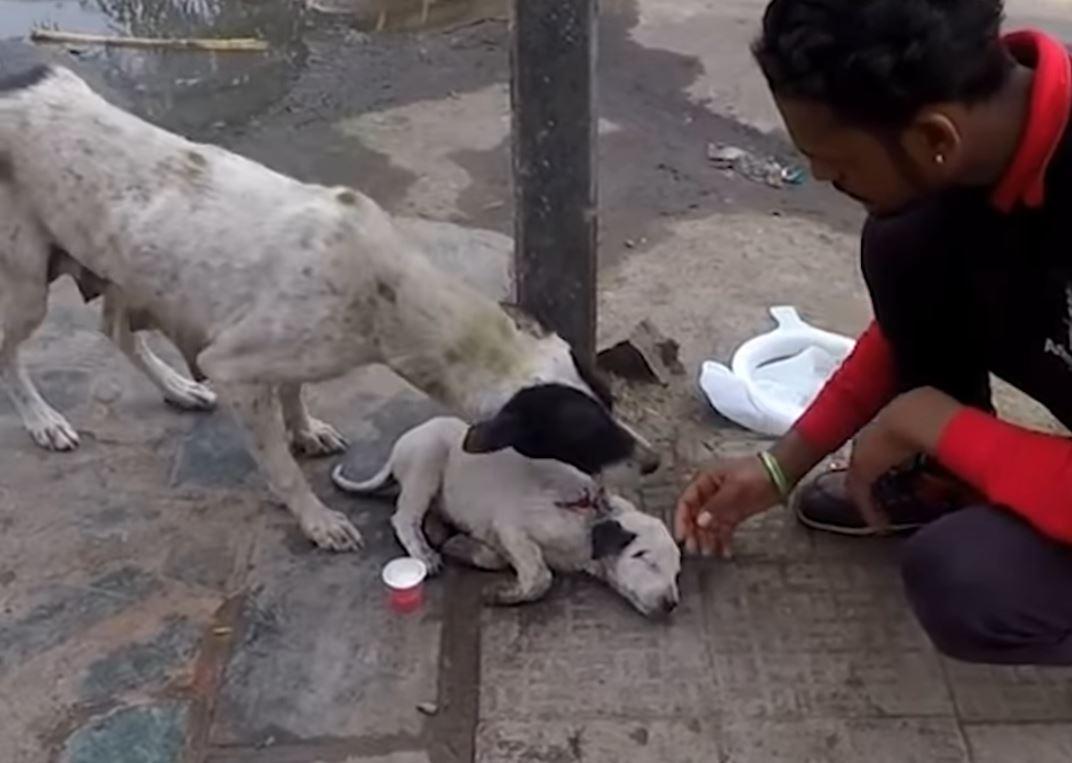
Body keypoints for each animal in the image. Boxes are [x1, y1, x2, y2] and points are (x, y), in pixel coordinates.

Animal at [0, 65, 656, 552]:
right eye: (581, 435)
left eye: (611, 401)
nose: (651, 462)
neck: (388, 288)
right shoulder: (234, 368)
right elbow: (281, 468)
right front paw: (316, 520)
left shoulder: (289, 356)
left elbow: (294, 394)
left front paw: (303, 427)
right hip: (27, 283)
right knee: (12, 352)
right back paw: (43, 419)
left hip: (125, 272)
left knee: (115, 330)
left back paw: (176, 388)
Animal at [332, 417, 677, 621]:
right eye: (646, 560)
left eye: (676, 573)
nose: (671, 604)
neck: (590, 520)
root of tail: (402, 445)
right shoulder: (513, 527)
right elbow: (540, 576)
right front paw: (500, 592)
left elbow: (505, 560)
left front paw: (466, 549)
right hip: (427, 462)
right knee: (404, 517)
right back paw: (424, 551)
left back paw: (438, 530)